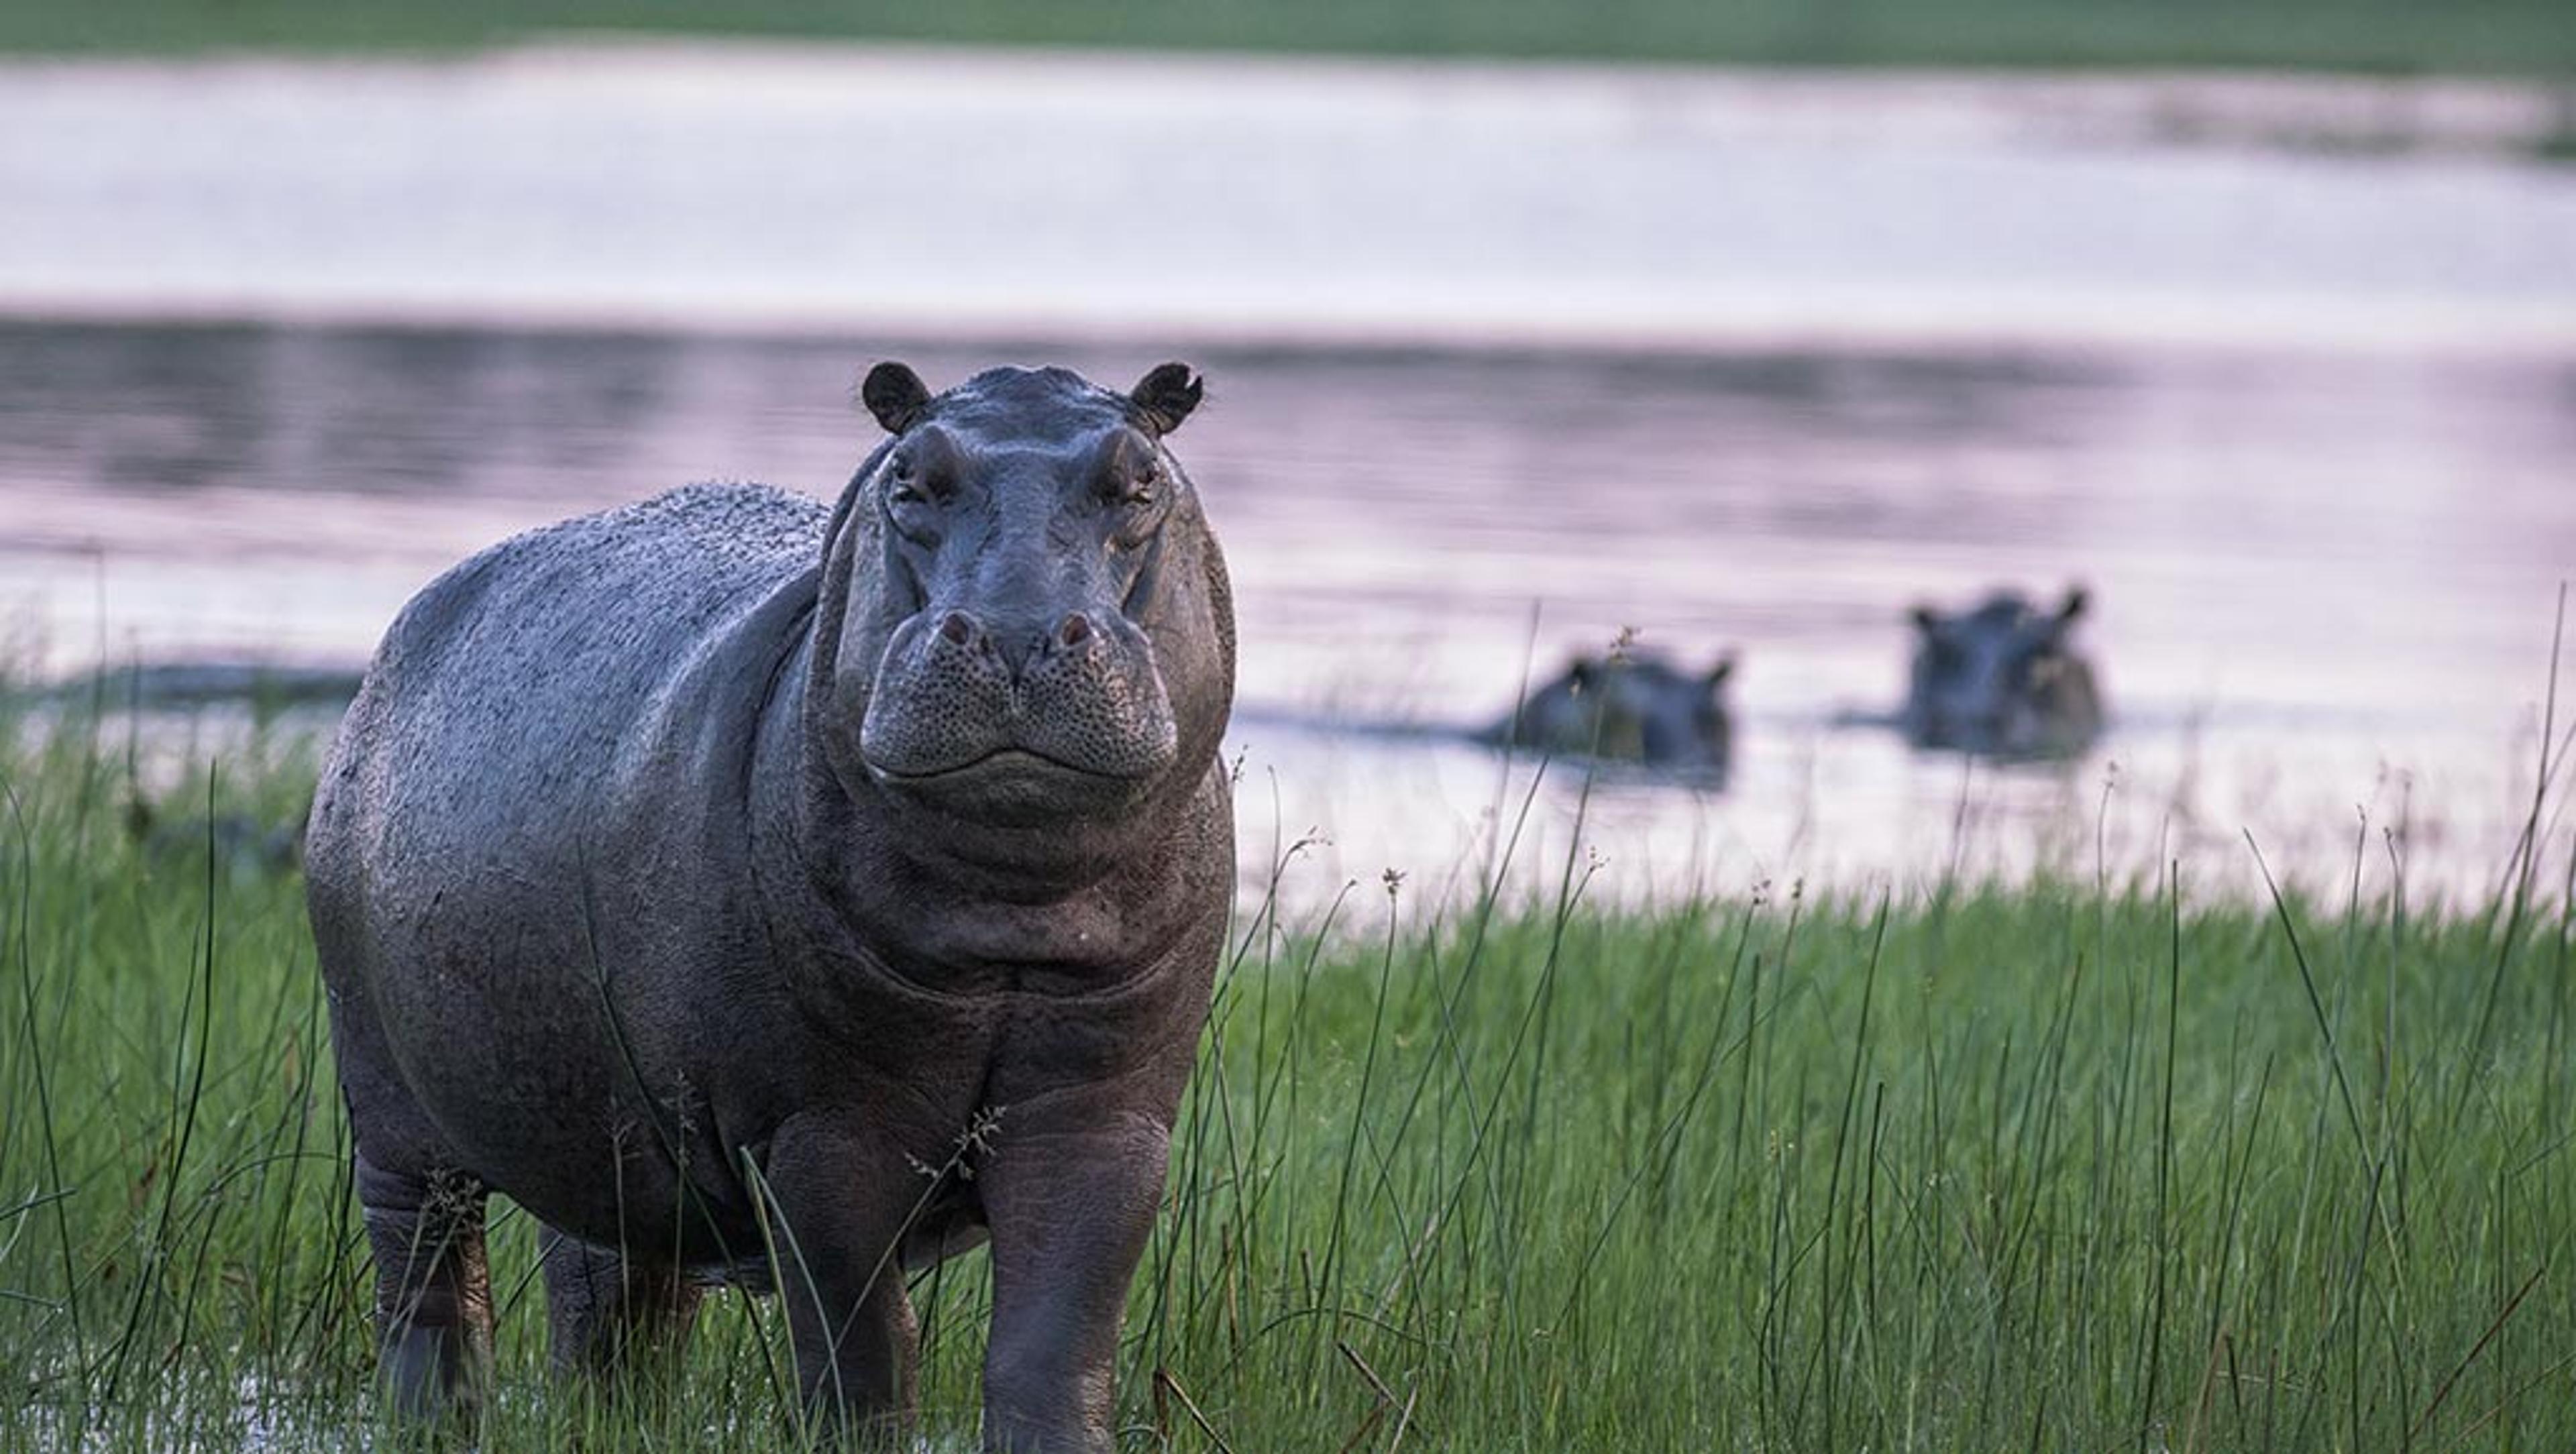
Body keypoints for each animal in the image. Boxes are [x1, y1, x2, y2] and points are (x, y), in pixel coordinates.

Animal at [303, 361, 1234, 1452]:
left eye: (1140, 480)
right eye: (909, 478)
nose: (1014, 632)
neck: (1008, 909)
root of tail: (404, 631)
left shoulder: (1106, 1121)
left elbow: (1052, 1347)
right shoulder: (818, 1134)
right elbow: (864, 1351)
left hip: (607, 1132)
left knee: (610, 1291)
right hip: (392, 1110)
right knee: (427, 1276)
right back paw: (434, 1417)